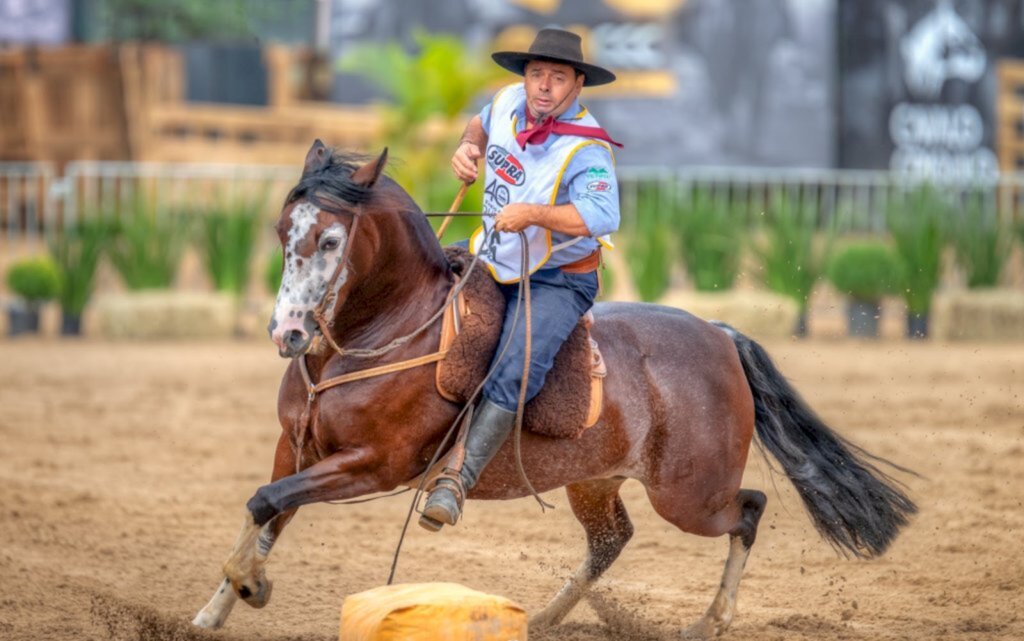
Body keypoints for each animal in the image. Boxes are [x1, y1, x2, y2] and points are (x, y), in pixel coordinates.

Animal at [193, 142, 921, 634]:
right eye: (282, 232)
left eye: (330, 239)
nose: (287, 332)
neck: (382, 332)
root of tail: (719, 335)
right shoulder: (297, 448)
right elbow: (267, 510)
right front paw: (217, 604)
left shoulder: (373, 465)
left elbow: (266, 503)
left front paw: (248, 586)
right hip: (595, 481)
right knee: (611, 540)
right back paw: (543, 617)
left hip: (690, 495)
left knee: (749, 508)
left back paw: (712, 618)